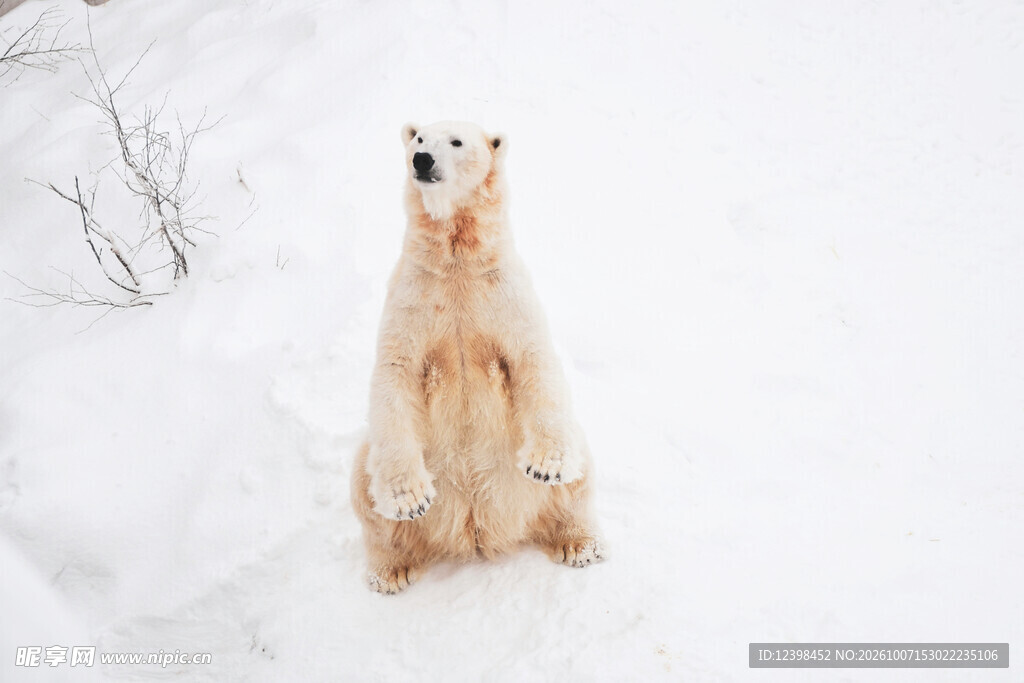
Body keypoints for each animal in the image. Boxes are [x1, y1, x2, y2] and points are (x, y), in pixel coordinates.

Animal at [350, 121, 602, 593]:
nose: (422, 160)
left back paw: (580, 543)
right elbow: (395, 372)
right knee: (365, 493)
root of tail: (477, 529)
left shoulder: (502, 290)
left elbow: (533, 357)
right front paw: (410, 500)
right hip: (371, 467)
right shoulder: (414, 296)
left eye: (456, 141)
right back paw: (391, 569)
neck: (457, 259)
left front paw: (545, 466)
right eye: (419, 139)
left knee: (577, 477)